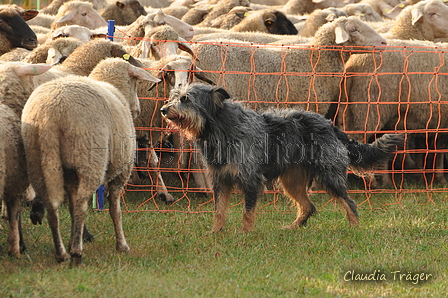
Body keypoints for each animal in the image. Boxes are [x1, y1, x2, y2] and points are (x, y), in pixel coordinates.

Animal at [160, 82, 402, 232]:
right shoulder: (221, 181)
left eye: (186, 99)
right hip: (292, 181)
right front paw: (215, 232)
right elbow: (219, 211)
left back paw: (354, 228)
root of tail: (329, 125)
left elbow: (247, 212)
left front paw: (244, 234)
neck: (220, 129)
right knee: (308, 206)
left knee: (349, 202)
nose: (163, 109)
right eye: (173, 97)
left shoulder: (251, 181)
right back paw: (292, 228)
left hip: (329, 176)